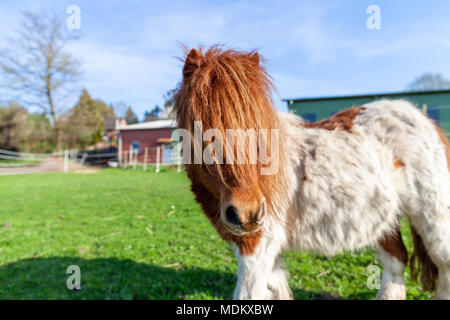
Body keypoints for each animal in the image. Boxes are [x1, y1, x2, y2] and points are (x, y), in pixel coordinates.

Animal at [172, 47, 450, 300]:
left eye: (259, 126)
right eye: (199, 125)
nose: (247, 213)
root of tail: (426, 121)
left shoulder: (257, 248)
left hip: (432, 217)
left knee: (442, 262)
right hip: (384, 221)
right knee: (395, 261)